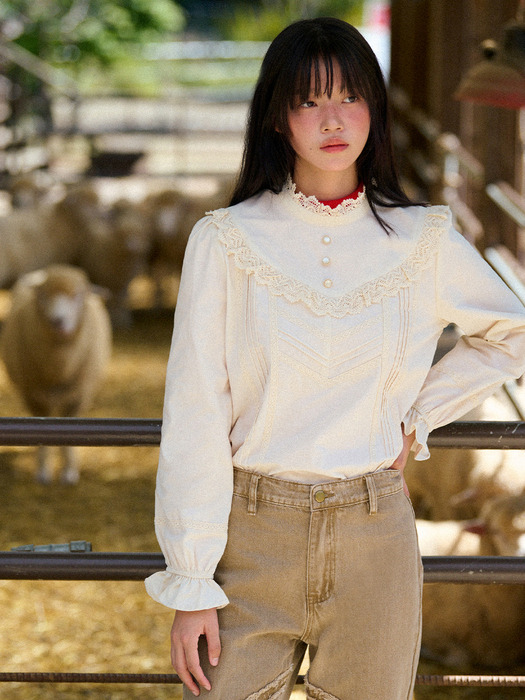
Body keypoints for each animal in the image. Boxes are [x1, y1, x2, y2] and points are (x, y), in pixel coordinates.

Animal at [0, 262, 111, 482]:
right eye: (43, 296)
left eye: (77, 295)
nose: (57, 321)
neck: (58, 369)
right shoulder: (32, 395)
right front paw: (43, 470)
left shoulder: (78, 396)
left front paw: (68, 471)